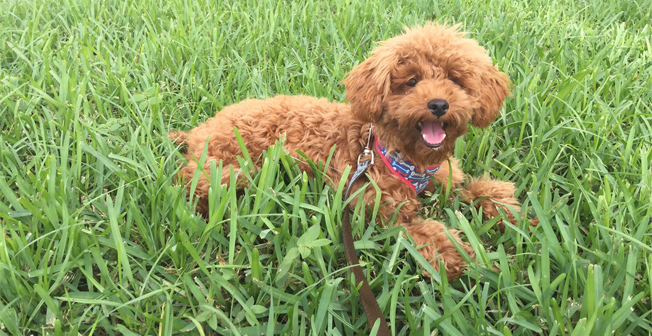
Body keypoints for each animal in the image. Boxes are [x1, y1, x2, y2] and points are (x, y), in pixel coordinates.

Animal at [169, 24, 536, 278]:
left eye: (456, 80)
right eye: (411, 81)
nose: (438, 104)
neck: (398, 156)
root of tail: (198, 131)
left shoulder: (445, 181)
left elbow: (479, 191)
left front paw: (515, 217)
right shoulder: (383, 214)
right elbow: (427, 234)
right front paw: (468, 258)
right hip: (228, 168)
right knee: (193, 183)